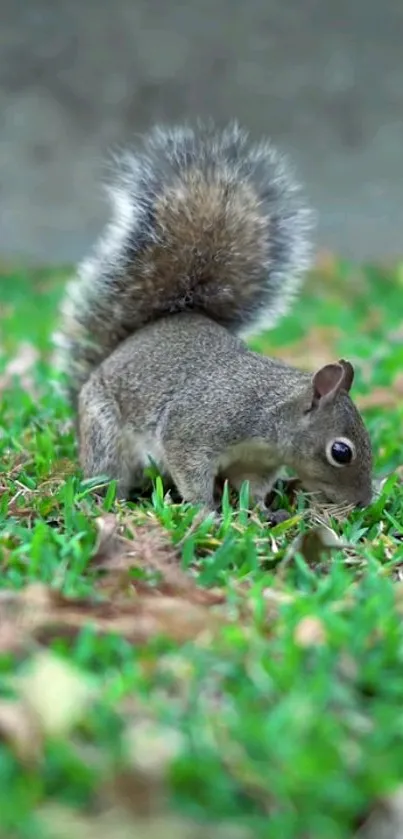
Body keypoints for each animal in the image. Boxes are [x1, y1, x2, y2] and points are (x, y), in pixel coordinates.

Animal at [52, 118, 372, 520]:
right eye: (340, 451)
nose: (365, 502)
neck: (269, 415)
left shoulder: (258, 463)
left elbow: (253, 489)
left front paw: (263, 513)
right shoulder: (195, 429)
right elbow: (190, 473)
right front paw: (207, 514)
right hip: (105, 434)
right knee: (108, 471)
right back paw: (108, 500)